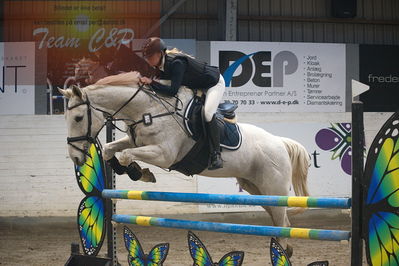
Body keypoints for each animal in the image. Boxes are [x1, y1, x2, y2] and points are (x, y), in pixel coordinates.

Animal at [59, 71, 310, 255]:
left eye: (78, 118)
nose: (76, 157)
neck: (149, 110)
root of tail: (280, 141)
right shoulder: (135, 140)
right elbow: (111, 149)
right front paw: (136, 171)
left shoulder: (164, 154)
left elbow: (127, 155)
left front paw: (140, 173)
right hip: (257, 190)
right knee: (280, 219)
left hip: (273, 189)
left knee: (282, 221)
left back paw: (283, 251)